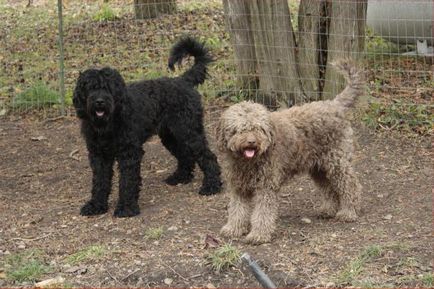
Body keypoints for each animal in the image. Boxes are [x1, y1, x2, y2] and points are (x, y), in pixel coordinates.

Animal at [73, 36, 222, 216]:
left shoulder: (129, 153)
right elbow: (99, 182)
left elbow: (127, 181)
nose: (99, 102)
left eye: (108, 88)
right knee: (185, 155)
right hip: (171, 136)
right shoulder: (99, 155)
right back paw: (180, 177)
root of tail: (183, 80)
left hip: (190, 132)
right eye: (90, 88)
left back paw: (211, 186)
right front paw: (96, 205)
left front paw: (126, 207)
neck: (108, 124)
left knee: (208, 157)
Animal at [216, 59, 362, 243]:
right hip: (318, 168)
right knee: (328, 188)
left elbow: (262, 213)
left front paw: (258, 235)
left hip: (337, 163)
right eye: (240, 130)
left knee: (350, 186)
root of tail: (335, 105)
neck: (248, 162)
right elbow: (237, 210)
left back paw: (348, 211)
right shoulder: (239, 187)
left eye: (258, 129)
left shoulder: (266, 187)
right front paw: (234, 228)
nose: (252, 142)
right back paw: (328, 210)